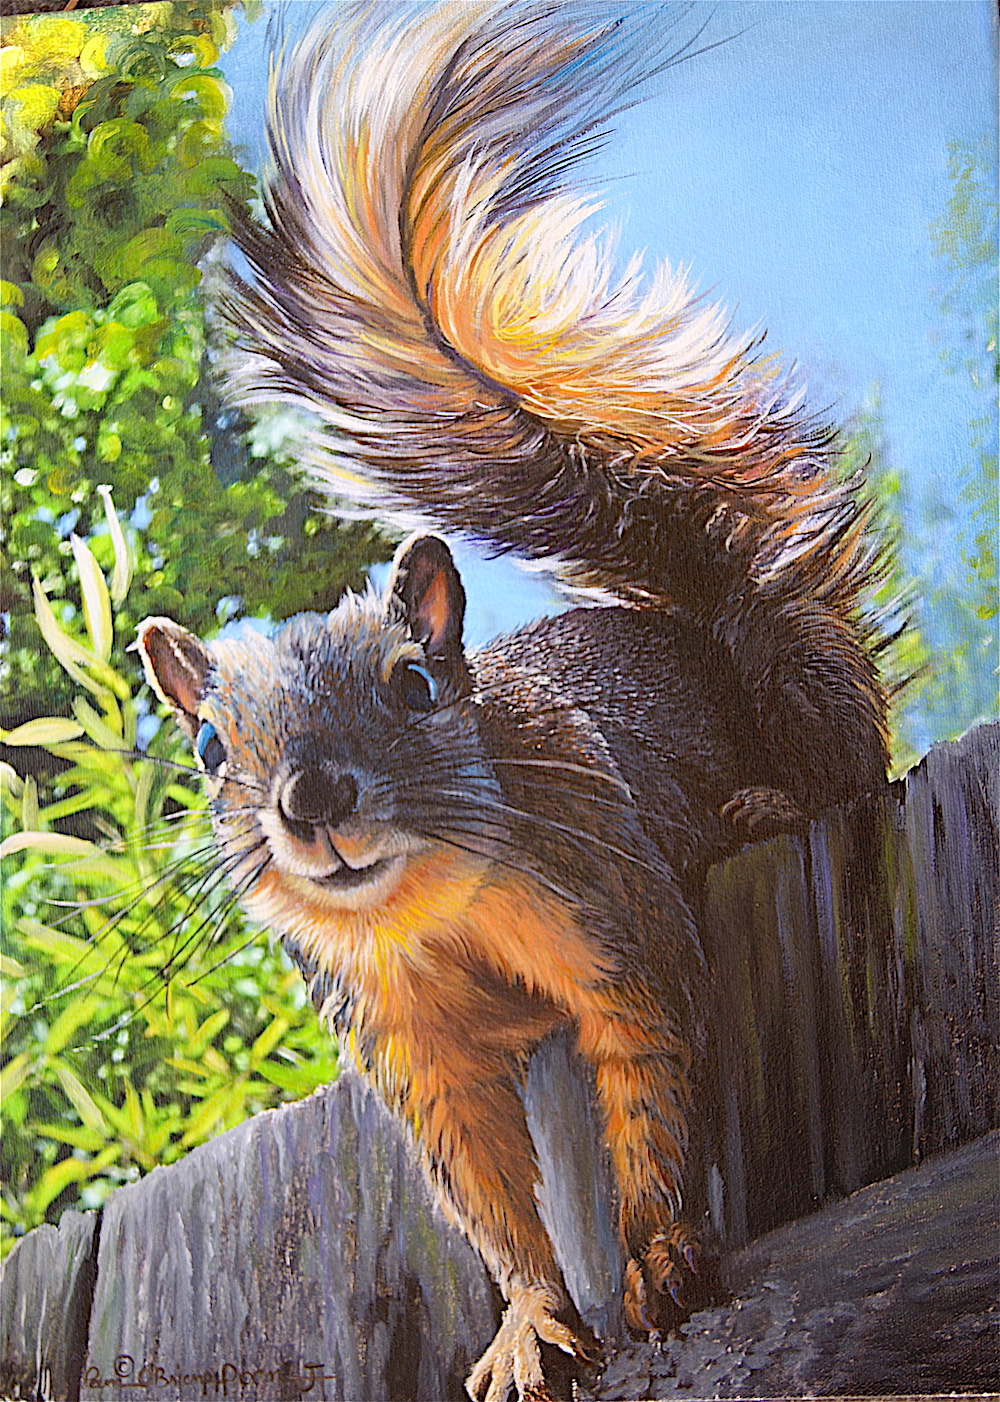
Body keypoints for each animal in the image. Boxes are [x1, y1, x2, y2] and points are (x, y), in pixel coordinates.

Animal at [136, 4, 889, 1400]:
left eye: (415, 683)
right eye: (208, 745)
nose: (311, 799)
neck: (431, 909)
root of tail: (678, 615)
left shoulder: (615, 904)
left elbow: (650, 1069)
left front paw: (658, 1254)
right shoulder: (406, 1043)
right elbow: (480, 1188)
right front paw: (531, 1321)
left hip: (793, 674)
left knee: (849, 763)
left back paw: (773, 796)